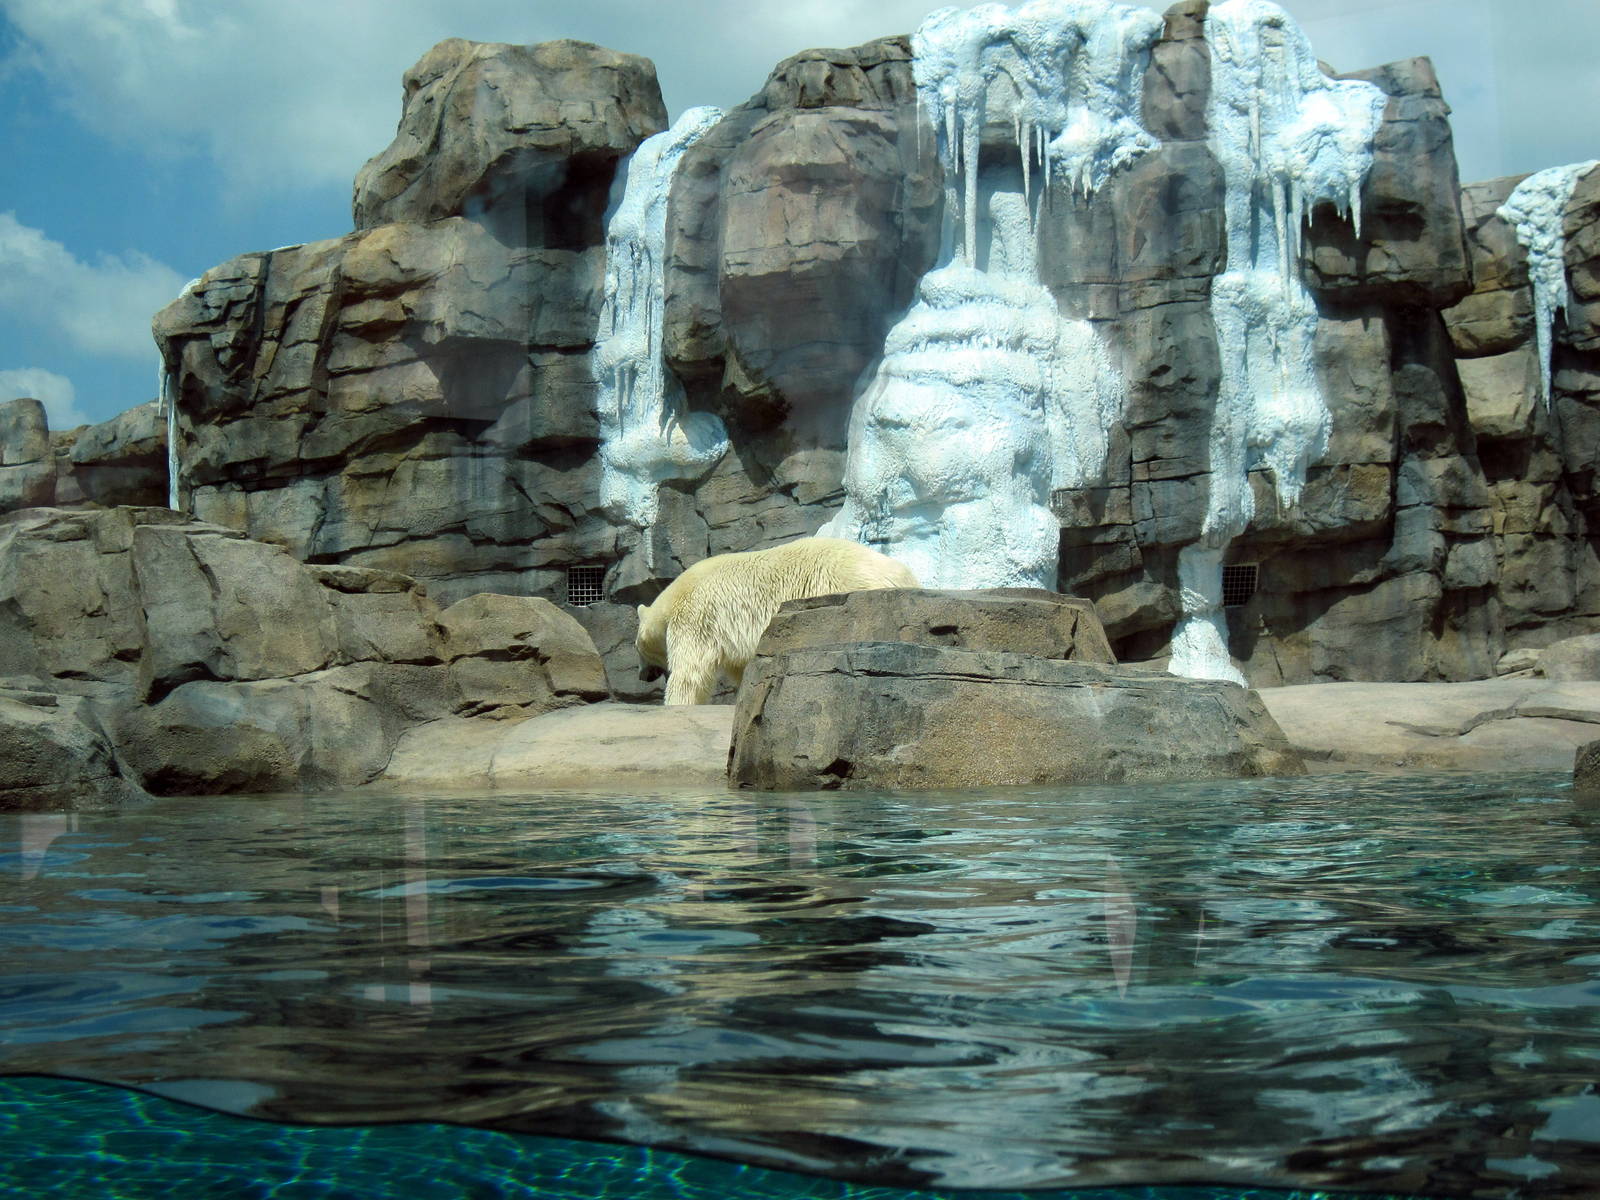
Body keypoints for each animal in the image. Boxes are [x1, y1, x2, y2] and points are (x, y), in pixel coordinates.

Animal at [635, 536, 919, 705]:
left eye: (637, 648)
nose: (641, 675)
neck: (672, 600)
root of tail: (906, 575)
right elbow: (741, 666)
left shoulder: (695, 616)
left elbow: (690, 670)